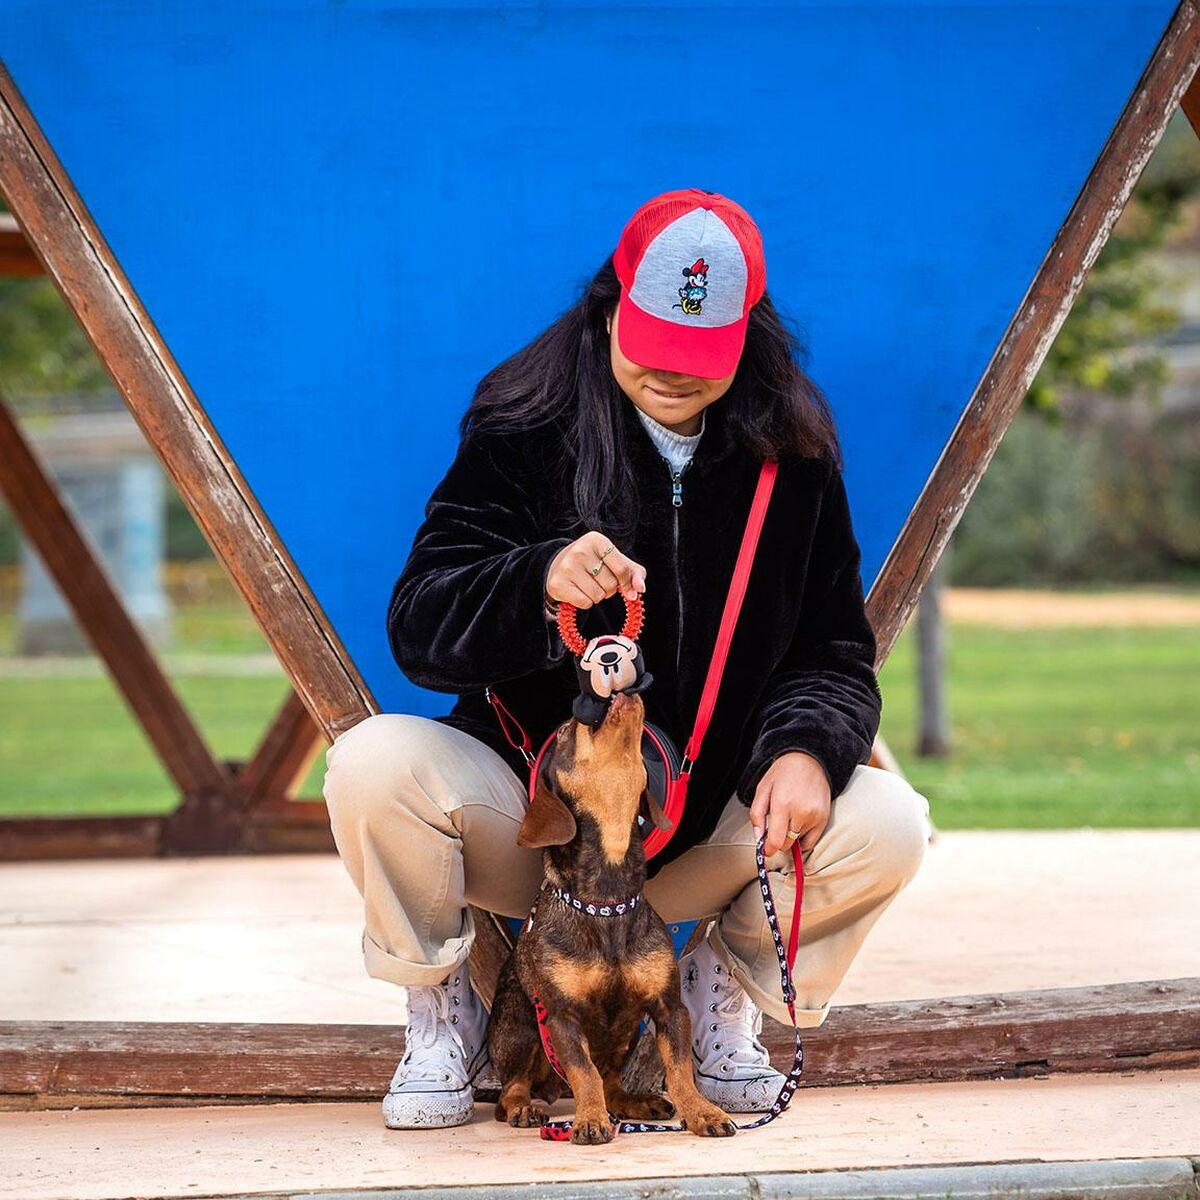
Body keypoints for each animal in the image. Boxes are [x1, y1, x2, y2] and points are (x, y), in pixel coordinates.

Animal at [484, 686, 729, 1142]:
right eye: (566, 729)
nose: (615, 694)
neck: (607, 899)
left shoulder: (669, 1008)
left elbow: (680, 1069)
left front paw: (702, 1112)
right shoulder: (561, 1016)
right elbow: (584, 1073)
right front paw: (590, 1119)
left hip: (624, 1035)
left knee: (613, 1081)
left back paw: (634, 1102)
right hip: (519, 1027)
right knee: (512, 1089)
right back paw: (525, 1107)